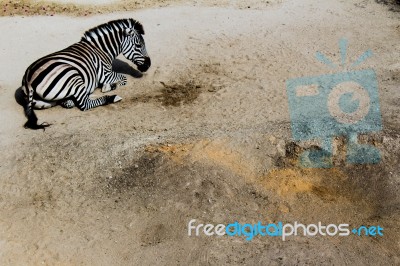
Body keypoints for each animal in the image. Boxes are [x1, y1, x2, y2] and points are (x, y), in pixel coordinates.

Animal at [21, 18, 150, 130]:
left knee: (70, 102)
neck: (101, 49)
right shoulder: (106, 74)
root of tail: (28, 79)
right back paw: (111, 97)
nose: (148, 65)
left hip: (45, 103)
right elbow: (124, 78)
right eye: (139, 45)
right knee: (84, 104)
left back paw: (74, 99)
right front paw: (109, 87)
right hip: (73, 75)